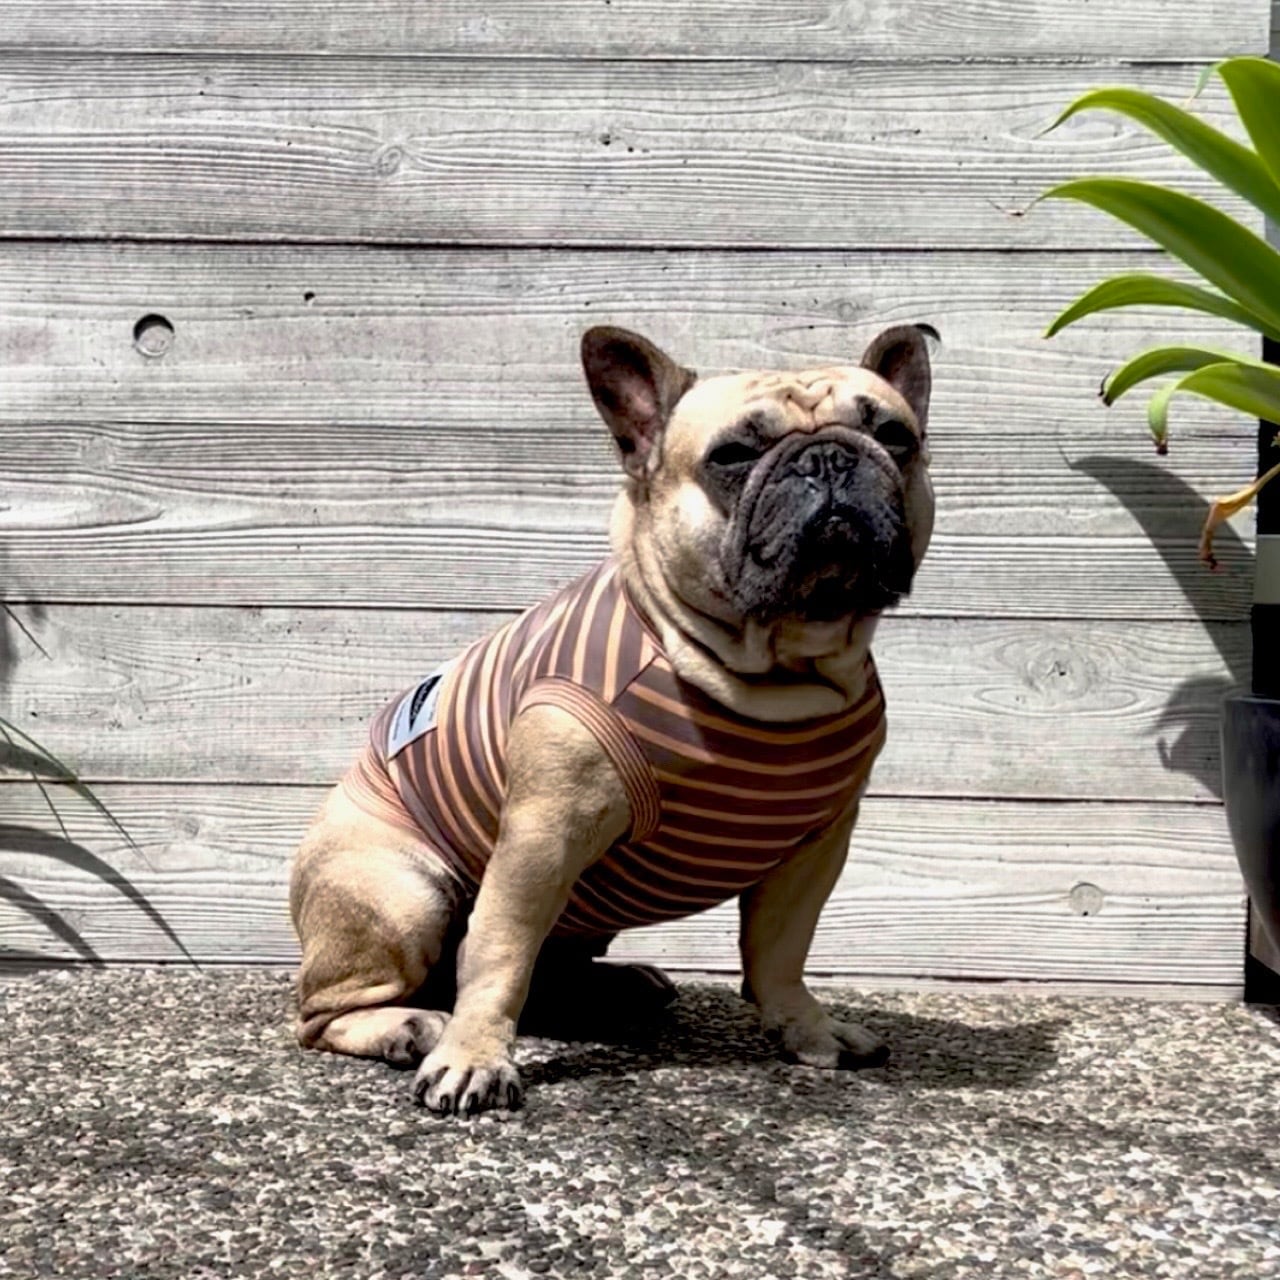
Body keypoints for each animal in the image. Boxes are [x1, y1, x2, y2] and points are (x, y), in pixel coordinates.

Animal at [289, 323, 935, 1116]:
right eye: (733, 455)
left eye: (896, 436)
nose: (830, 457)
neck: (772, 673)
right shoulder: (541, 838)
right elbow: (500, 953)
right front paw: (474, 1058)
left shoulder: (813, 850)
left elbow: (783, 953)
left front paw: (807, 1030)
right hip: (404, 893)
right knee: (330, 1011)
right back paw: (411, 1026)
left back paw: (615, 986)